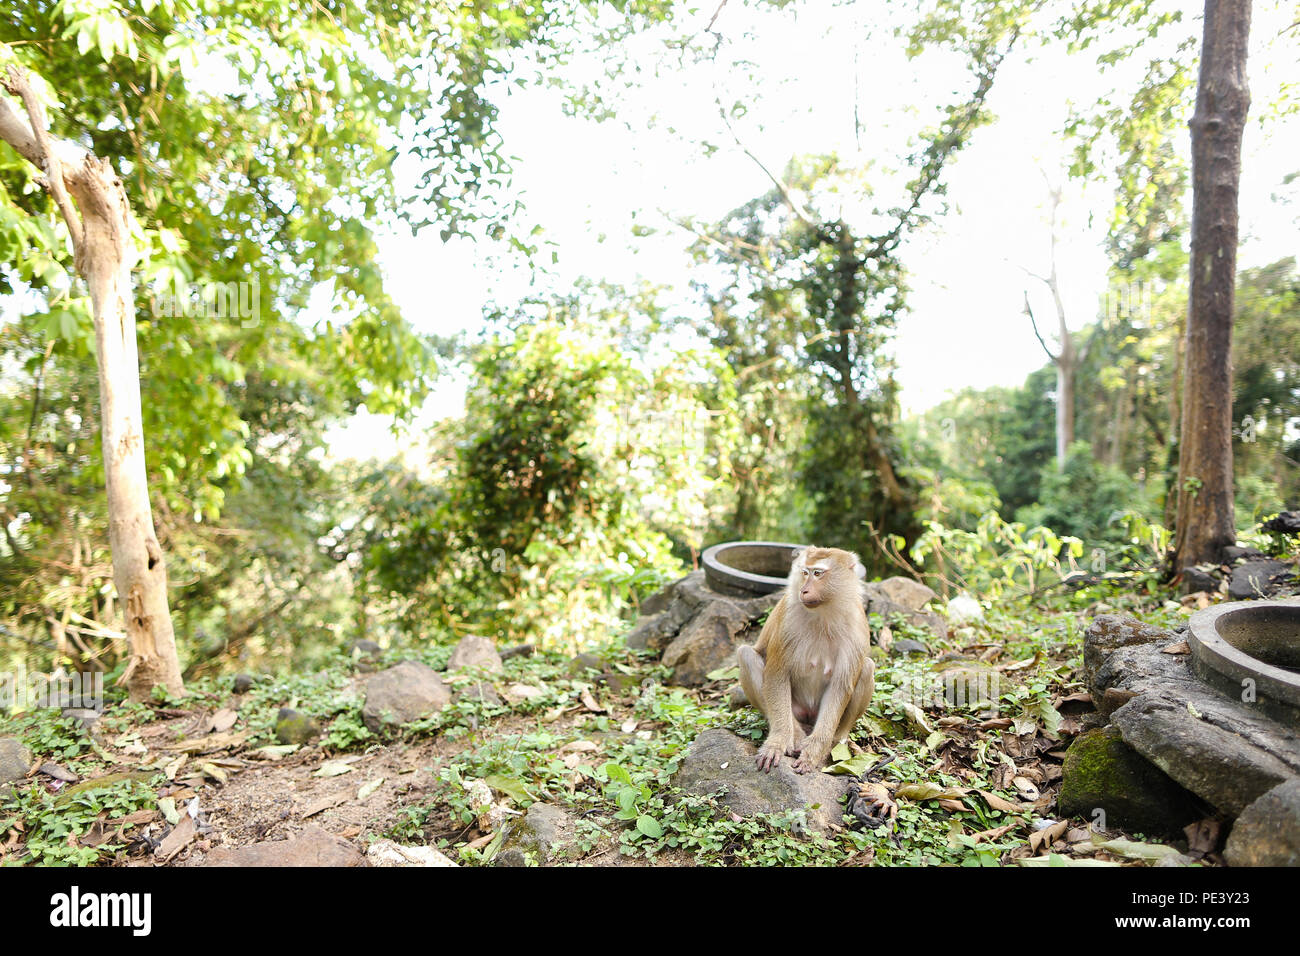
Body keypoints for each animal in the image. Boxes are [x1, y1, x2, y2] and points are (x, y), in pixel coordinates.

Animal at [743, 548, 873, 775]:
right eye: (805, 572)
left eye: (818, 573)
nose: (803, 590)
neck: (824, 613)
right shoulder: (787, 622)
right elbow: (776, 676)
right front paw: (778, 743)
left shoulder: (856, 630)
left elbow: (839, 687)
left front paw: (813, 752)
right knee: (746, 655)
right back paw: (795, 734)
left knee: (867, 668)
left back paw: (836, 741)